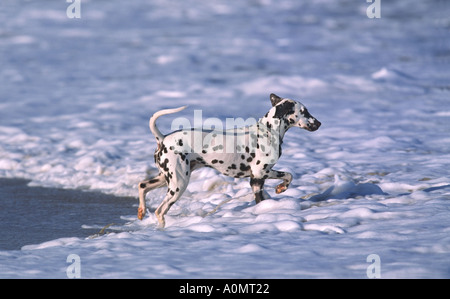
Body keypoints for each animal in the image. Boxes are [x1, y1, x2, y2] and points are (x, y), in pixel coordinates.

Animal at [137, 94, 320, 227]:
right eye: (304, 111)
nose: (319, 123)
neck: (268, 131)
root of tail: (163, 139)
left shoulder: (256, 182)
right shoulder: (261, 172)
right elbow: (289, 175)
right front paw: (282, 188)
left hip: (165, 178)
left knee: (142, 186)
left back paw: (141, 211)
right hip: (178, 184)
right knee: (160, 211)